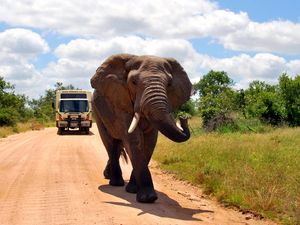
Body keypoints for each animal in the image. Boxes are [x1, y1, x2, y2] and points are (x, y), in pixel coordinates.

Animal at [90, 53, 191, 203]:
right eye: (133, 82)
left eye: (169, 84)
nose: (183, 118)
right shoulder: (122, 101)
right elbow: (134, 140)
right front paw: (148, 198)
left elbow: (149, 142)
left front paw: (133, 190)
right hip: (97, 111)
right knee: (110, 144)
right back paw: (115, 183)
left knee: (118, 145)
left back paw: (110, 176)